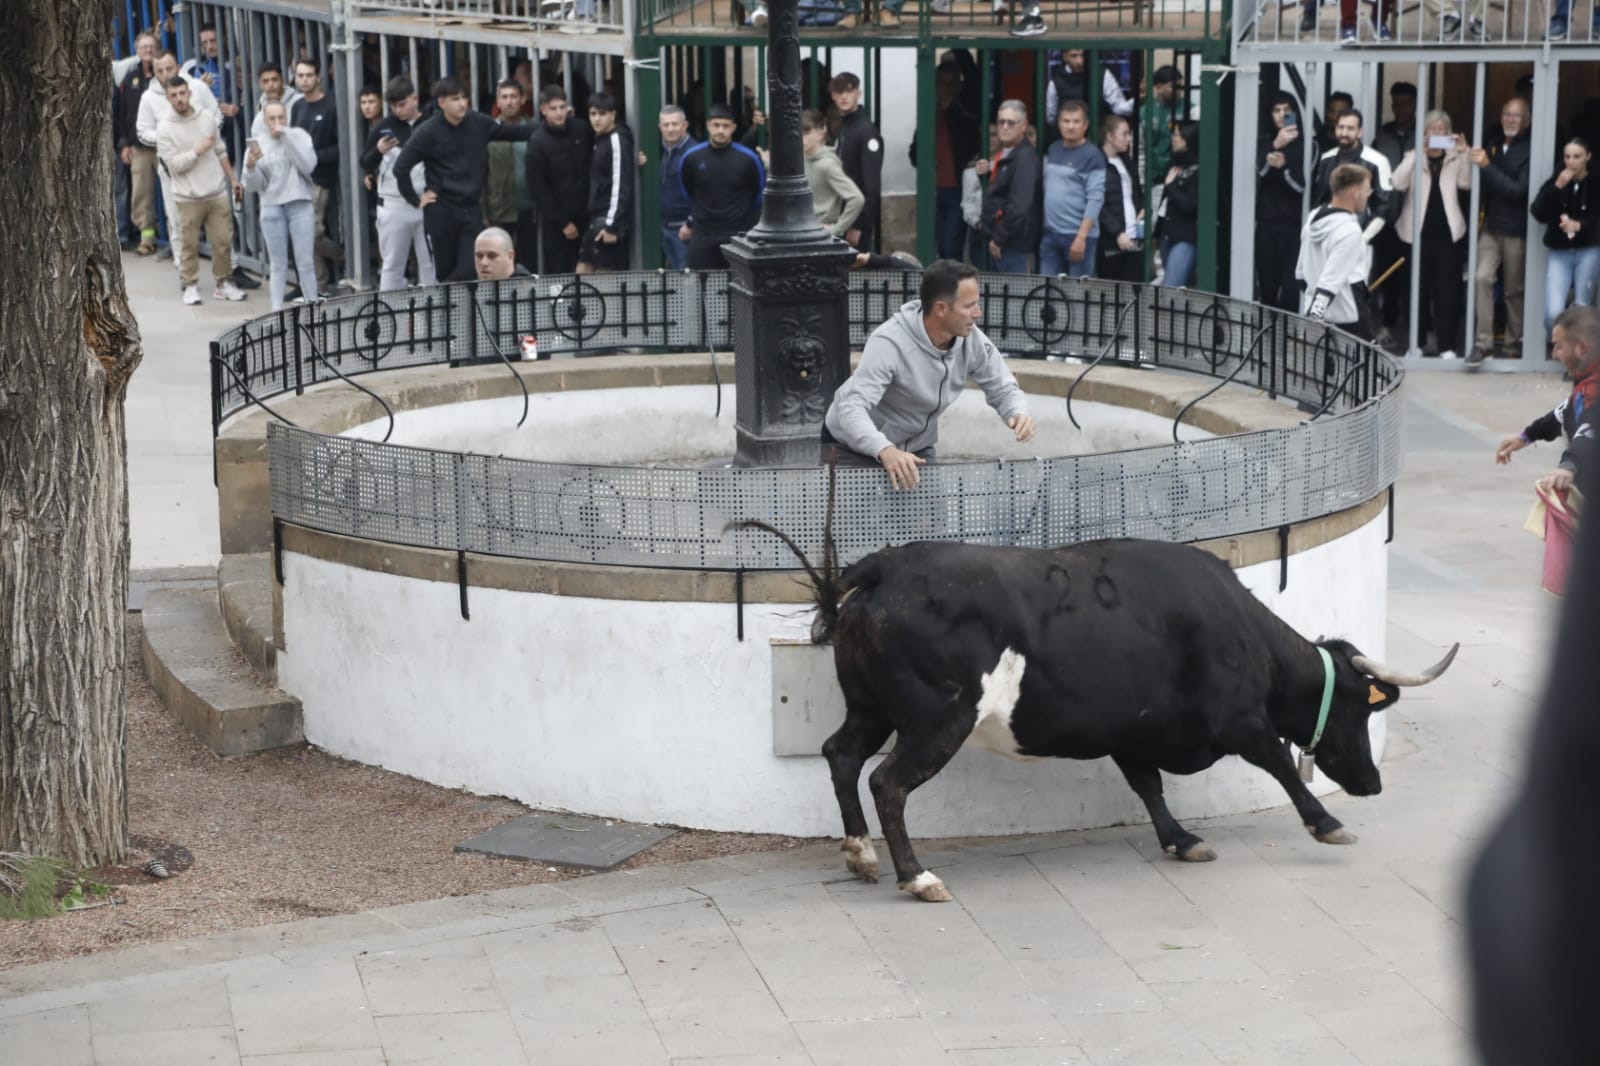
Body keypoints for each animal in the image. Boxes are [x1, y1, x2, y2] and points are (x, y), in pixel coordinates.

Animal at [742, 531, 1459, 896]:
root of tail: (882, 568)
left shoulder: (1132, 731)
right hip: (936, 719)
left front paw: (1182, 840)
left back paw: (861, 856)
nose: (1372, 782)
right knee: (887, 781)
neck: (1236, 623)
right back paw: (916, 875)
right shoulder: (1240, 720)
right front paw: (1327, 823)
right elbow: (1281, 765)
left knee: (841, 755)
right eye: (1359, 711)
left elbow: (1148, 787)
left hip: (870, 707)